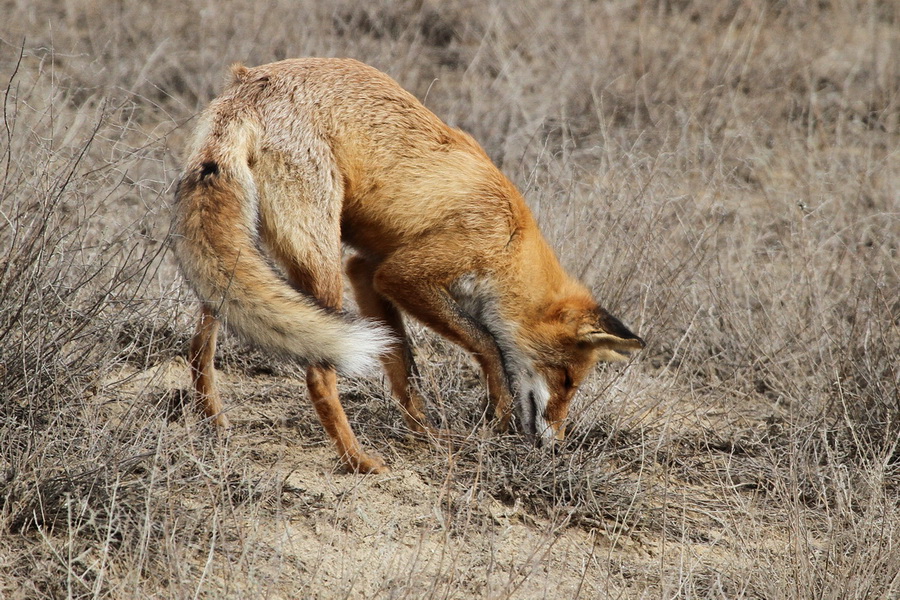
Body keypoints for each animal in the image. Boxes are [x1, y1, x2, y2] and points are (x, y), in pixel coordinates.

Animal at [174, 59, 640, 474]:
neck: (512, 237)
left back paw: (213, 422)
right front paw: (499, 411)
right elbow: (487, 342)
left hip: (240, 256)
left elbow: (403, 368)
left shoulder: (365, 271)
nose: (555, 446)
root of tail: (249, 85)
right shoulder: (403, 274)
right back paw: (357, 461)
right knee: (318, 372)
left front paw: (426, 435)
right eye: (567, 380)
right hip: (321, 266)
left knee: (200, 346)